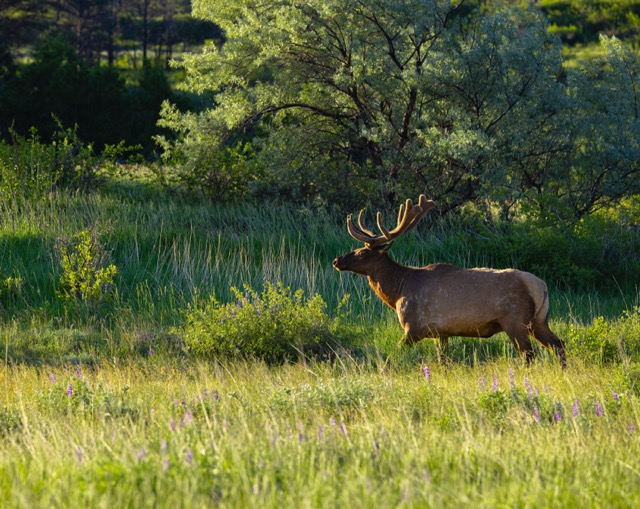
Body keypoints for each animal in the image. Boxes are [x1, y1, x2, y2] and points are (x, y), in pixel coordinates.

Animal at [333, 195, 567, 367]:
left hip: (516, 321)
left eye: (362, 252)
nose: (337, 260)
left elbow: (395, 353)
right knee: (558, 344)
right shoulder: (441, 333)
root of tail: (542, 287)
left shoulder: (413, 327)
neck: (398, 291)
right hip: (539, 321)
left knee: (530, 355)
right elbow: (443, 361)